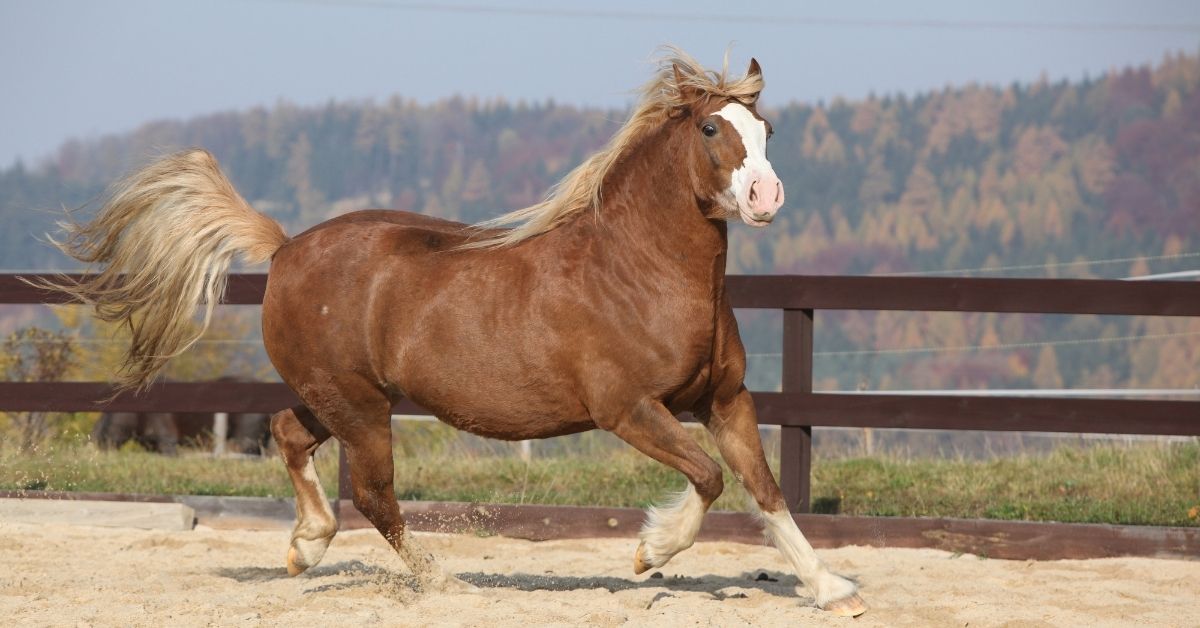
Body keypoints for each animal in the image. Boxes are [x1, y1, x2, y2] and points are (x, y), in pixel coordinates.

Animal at [37, 50, 864, 619]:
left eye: (767, 128)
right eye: (711, 125)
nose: (766, 196)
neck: (639, 271)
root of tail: (285, 247)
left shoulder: (726, 401)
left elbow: (765, 489)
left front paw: (833, 589)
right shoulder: (628, 410)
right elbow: (708, 478)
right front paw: (649, 551)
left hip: (340, 399)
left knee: (289, 434)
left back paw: (306, 546)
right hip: (361, 409)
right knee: (374, 495)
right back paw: (444, 580)